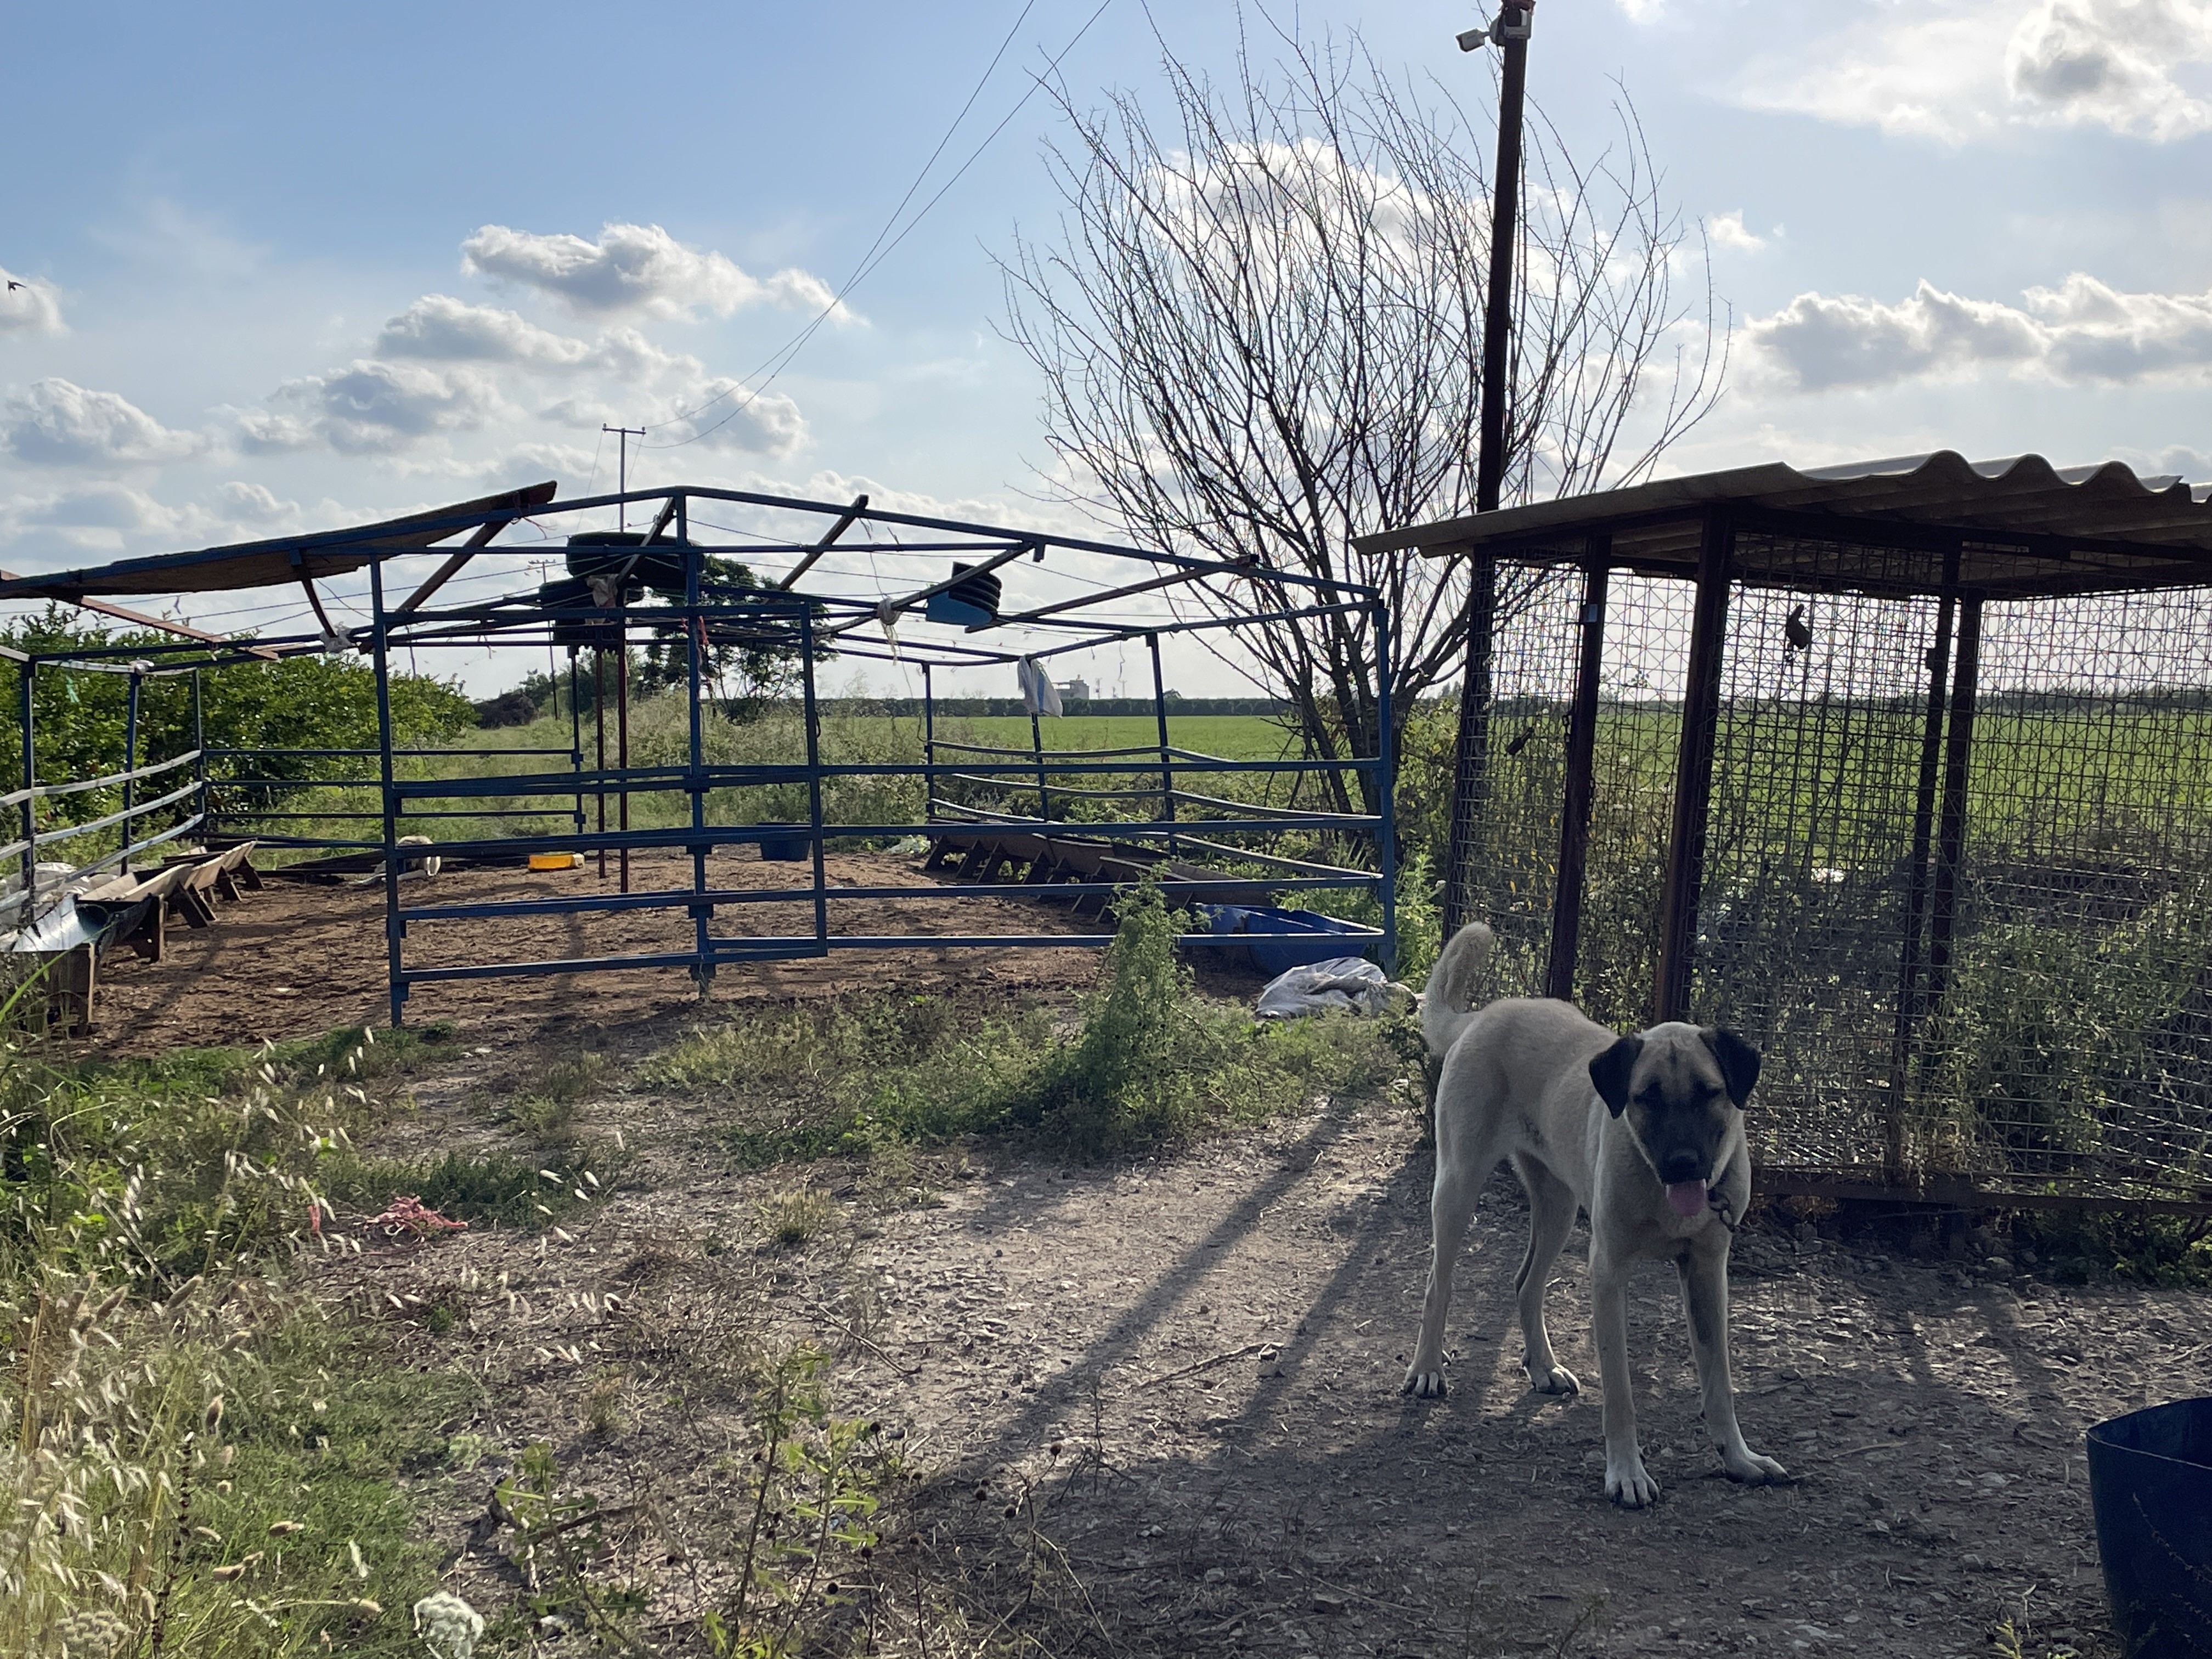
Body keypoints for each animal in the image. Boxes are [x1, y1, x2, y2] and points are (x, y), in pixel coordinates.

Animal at [1407, 929, 1787, 1513]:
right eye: (1646, 1097)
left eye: (1710, 1093)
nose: (1684, 1163)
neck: (1657, 1187)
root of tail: (1486, 1015)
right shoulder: (1608, 1273)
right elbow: (1621, 1392)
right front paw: (1626, 1474)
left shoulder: (1707, 1273)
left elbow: (1718, 1381)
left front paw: (1739, 1459)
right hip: (1457, 1187)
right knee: (1437, 1286)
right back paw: (1427, 1369)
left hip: (1559, 1207)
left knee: (1525, 1284)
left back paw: (1542, 1367)